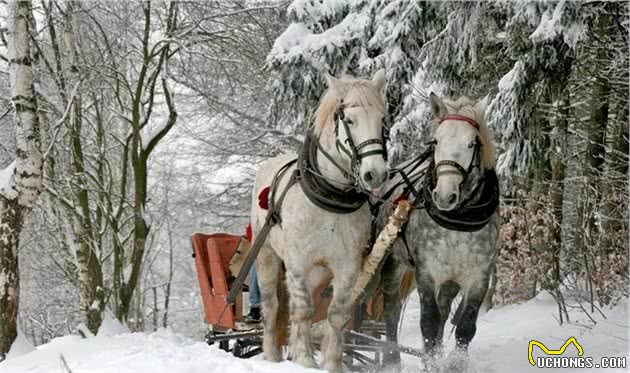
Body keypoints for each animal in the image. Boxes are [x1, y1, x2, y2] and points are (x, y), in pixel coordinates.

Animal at [252, 69, 390, 370]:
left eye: (382, 120)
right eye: (349, 120)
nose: (375, 174)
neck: (331, 199)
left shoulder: (347, 266)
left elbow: (337, 314)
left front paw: (332, 363)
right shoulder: (297, 262)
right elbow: (303, 310)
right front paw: (304, 360)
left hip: (317, 272)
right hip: (267, 255)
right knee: (272, 307)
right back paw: (271, 355)